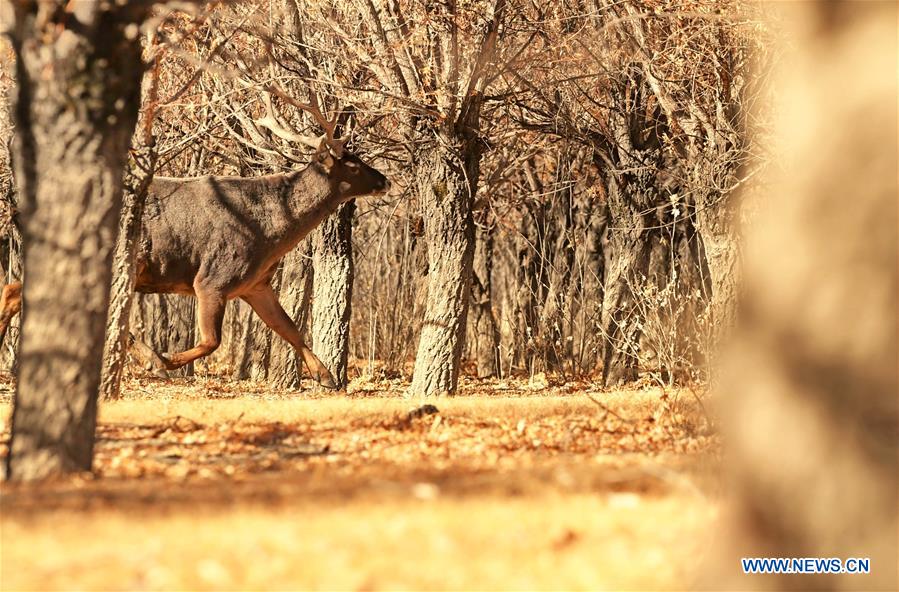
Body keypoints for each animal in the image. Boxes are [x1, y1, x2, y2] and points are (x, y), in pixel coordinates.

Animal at [0, 85, 386, 386]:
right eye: (352, 163)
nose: (384, 179)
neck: (271, 233)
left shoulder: (256, 284)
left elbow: (290, 328)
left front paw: (327, 377)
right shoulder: (213, 278)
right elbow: (211, 340)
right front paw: (165, 360)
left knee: (15, 290)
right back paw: (150, 358)